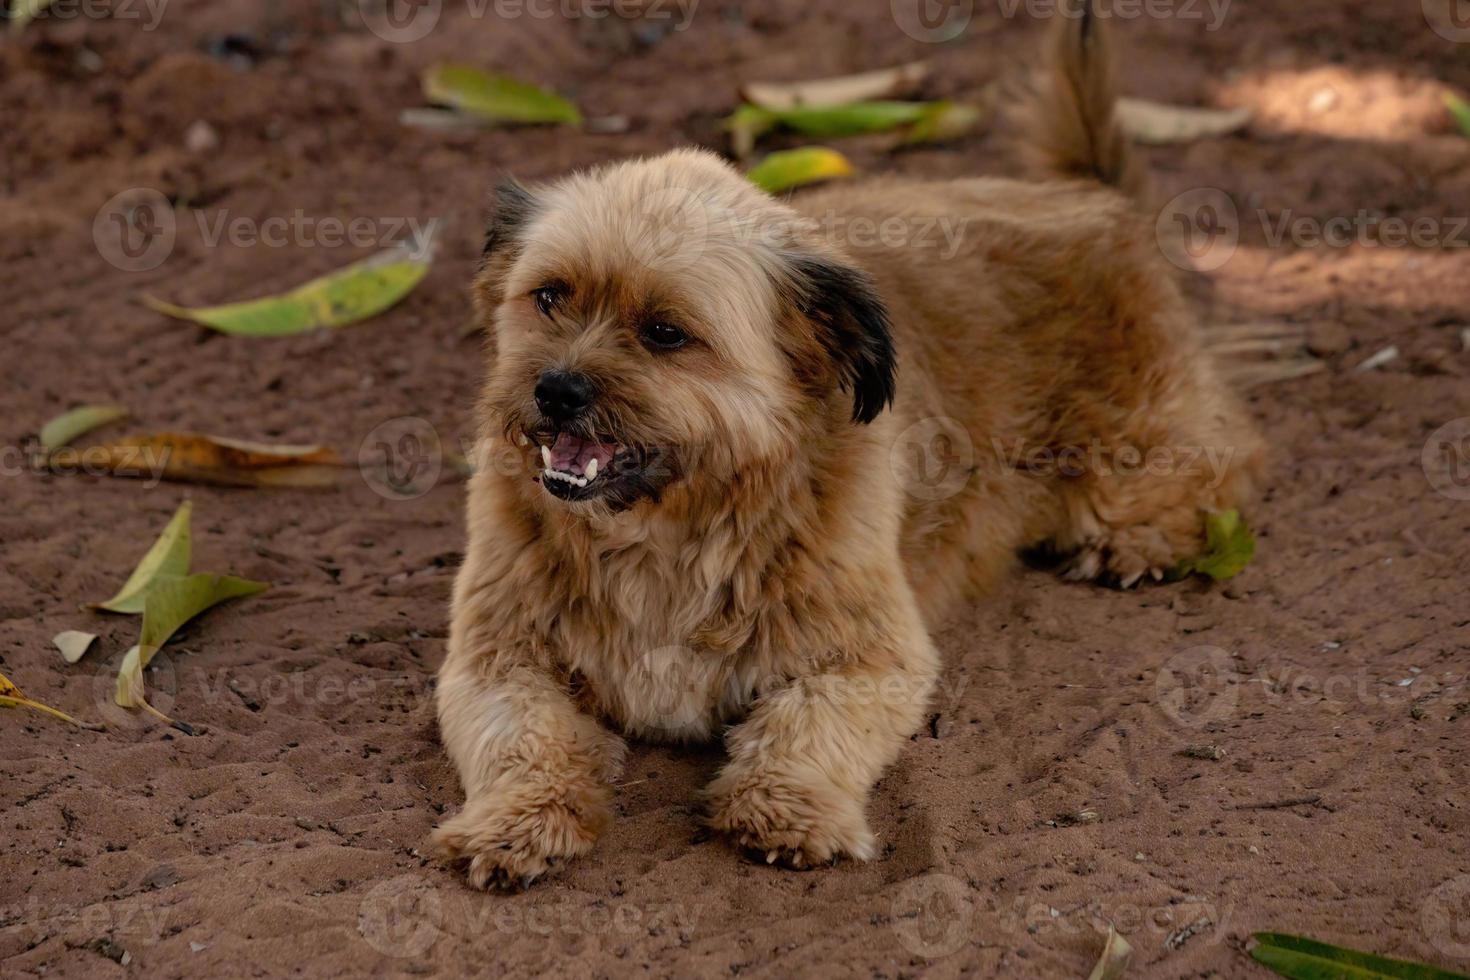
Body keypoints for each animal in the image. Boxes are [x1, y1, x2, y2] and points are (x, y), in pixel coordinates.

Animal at [429, 9, 1258, 887]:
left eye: (664, 333)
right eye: (549, 297)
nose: (556, 389)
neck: (669, 524)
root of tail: (1088, 196)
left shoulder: (871, 654)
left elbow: (807, 722)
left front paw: (785, 808)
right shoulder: (495, 657)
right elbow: (526, 739)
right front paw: (516, 820)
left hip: (1132, 454)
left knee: (1227, 458)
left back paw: (1142, 540)